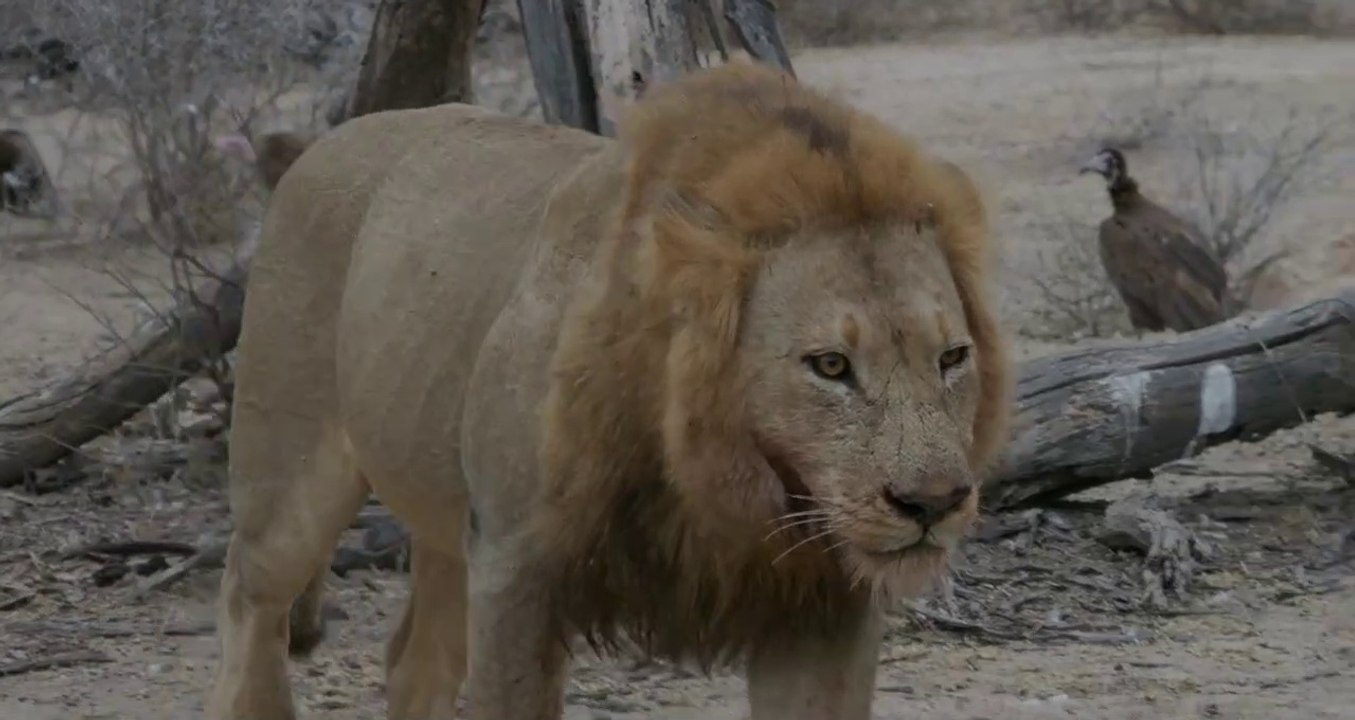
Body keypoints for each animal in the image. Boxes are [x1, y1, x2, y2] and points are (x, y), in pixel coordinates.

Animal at [207, 59, 1014, 720]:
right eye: (831, 366)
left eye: (951, 357)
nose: (932, 504)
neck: (724, 477)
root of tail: (320, 143)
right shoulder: (514, 567)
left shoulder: (824, 603)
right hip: (292, 473)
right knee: (250, 592)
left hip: (447, 522)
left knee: (412, 664)